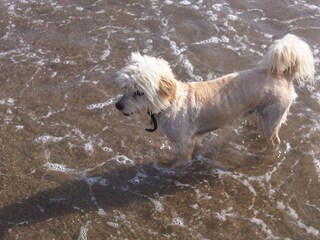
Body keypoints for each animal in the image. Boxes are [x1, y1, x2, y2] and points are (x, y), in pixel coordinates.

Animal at [115, 33, 316, 168]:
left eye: (139, 92)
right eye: (125, 88)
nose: (118, 105)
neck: (170, 104)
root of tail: (282, 75)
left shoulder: (182, 143)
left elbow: (181, 161)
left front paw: (173, 170)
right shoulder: (194, 138)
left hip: (271, 118)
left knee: (274, 141)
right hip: (258, 114)